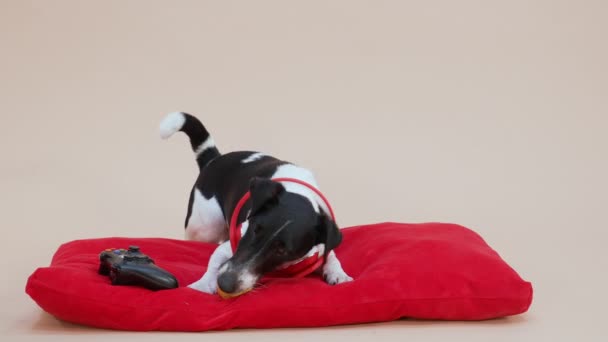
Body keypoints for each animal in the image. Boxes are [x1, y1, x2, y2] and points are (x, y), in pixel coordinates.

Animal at [159, 113, 354, 296]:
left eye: (283, 251)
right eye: (255, 229)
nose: (225, 283)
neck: (299, 192)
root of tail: (213, 159)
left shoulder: (320, 246)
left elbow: (332, 257)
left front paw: (338, 273)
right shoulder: (232, 246)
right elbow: (214, 263)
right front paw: (203, 284)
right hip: (204, 228)